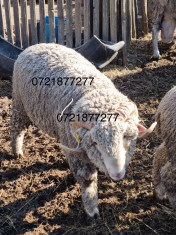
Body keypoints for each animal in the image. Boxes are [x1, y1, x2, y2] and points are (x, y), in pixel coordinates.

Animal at [11, 42, 155, 218]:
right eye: (95, 143)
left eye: (126, 137)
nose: (117, 174)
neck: (93, 92)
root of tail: (37, 45)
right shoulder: (79, 155)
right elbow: (88, 181)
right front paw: (92, 209)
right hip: (19, 104)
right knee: (17, 128)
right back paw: (17, 151)